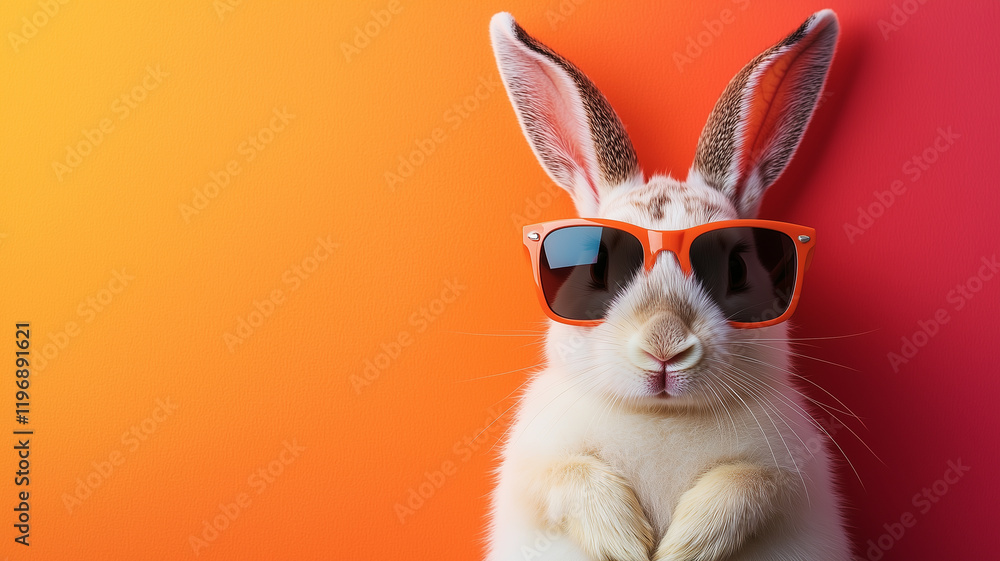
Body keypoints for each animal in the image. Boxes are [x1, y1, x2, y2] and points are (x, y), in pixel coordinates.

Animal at [486, 9, 850, 561]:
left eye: (737, 270)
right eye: (597, 268)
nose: (664, 346)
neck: (663, 416)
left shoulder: (790, 471)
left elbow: (746, 486)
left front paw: (682, 548)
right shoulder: (536, 462)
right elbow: (569, 477)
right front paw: (627, 543)